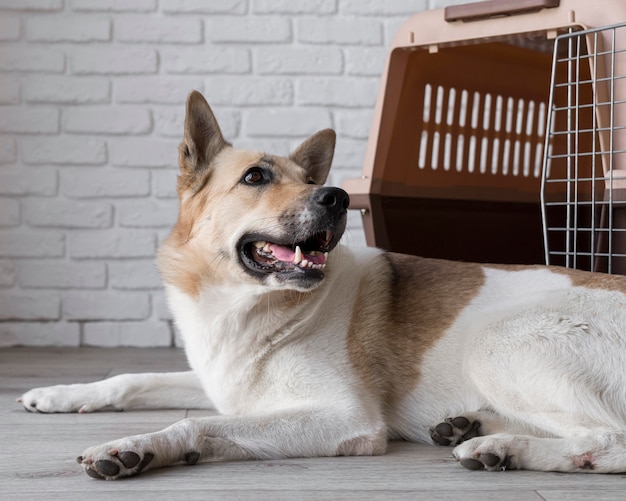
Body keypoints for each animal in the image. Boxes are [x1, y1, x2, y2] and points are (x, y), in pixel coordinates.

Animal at [18, 90, 624, 476]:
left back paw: (504, 447)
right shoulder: (220, 380)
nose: (335, 196)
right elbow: (130, 378)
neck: (244, 305)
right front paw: (59, 394)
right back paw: (466, 426)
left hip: (499, 340)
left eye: (309, 179)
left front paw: (134, 448)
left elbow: (197, 427)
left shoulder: (343, 417)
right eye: (256, 176)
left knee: (609, 437)